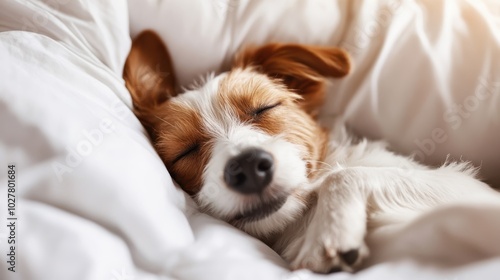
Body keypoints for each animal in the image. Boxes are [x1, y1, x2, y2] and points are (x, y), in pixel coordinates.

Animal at [123, 30, 498, 274]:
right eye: (184, 152)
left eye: (264, 108)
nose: (248, 166)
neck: (302, 217)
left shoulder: (468, 188)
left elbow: (343, 175)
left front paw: (328, 234)